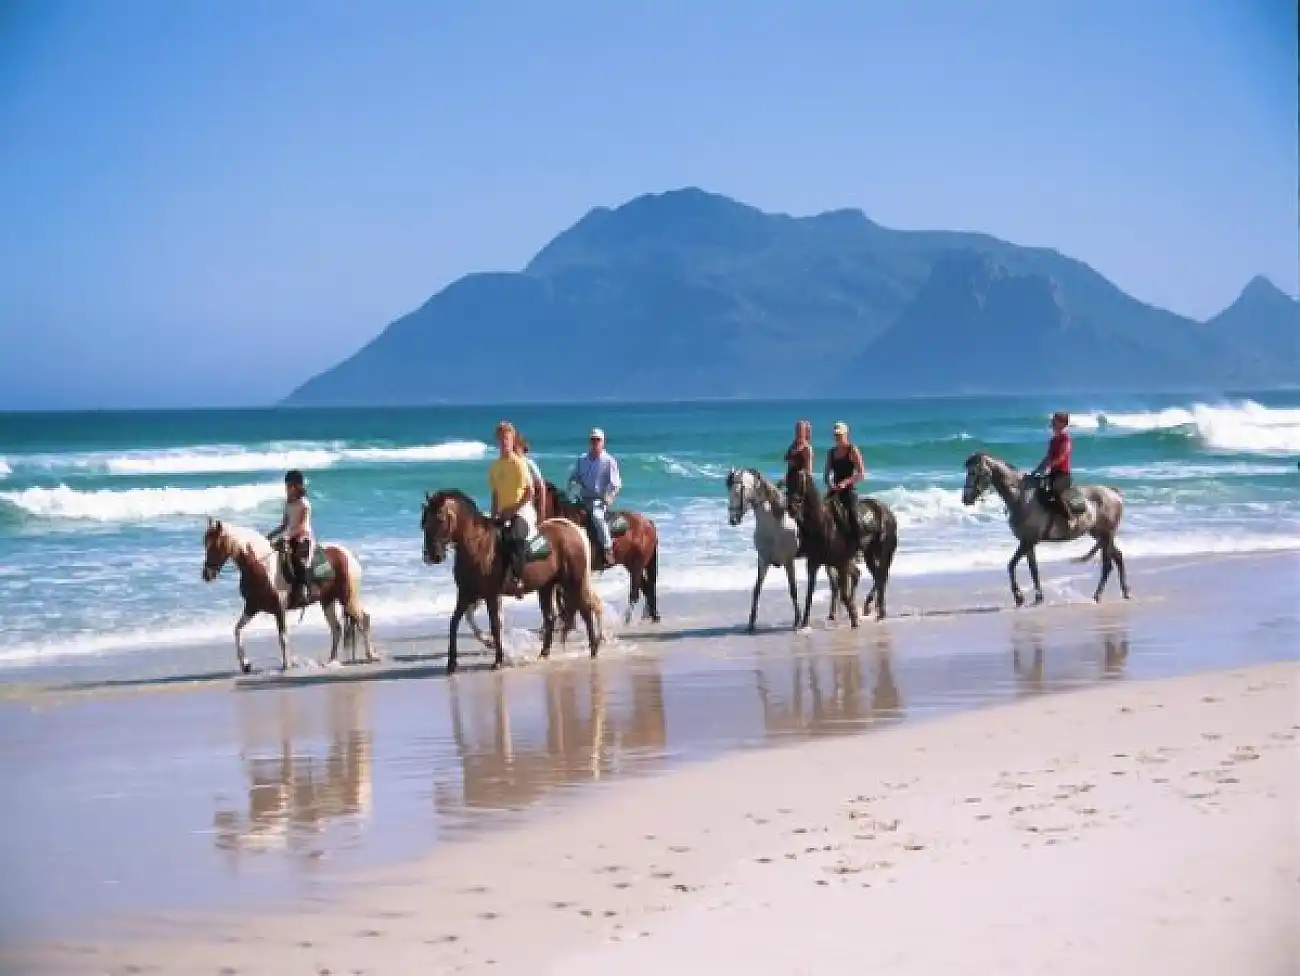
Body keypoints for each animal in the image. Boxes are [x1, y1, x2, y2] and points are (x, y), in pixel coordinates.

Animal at [201, 519, 377, 674]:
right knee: (337, 628)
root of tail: (348, 555)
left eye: (215, 545)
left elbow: (283, 637)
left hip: (347, 598)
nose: (207, 575)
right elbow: (237, 630)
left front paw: (287, 665)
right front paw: (245, 665)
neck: (262, 567)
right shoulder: (252, 607)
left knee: (363, 619)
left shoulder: (279, 610)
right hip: (327, 601)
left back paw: (371, 655)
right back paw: (332, 660)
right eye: (205, 544)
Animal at [420, 489, 603, 674]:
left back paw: (594, 648)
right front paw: (451, 663)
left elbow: (495, 625)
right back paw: (544, 654)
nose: (432, 556)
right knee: (551, 618)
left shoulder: (491, 595)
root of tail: (572, 528)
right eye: (424, 522)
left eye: (440, 519)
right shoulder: (465, 594)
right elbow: (454, 622)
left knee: (586, 610)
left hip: (573, 582)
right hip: (546, 586)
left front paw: (498, 660)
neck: (477, 545)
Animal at [544, 481, 661, 626]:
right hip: (632, 565)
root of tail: (648, 523)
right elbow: (560, 595)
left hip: (637, 566)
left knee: (636, 592)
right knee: (647, 588)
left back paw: (627, 620)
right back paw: (654, 616)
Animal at [725, 467, 801, 632]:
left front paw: (797, 621)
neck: (775, 524)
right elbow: (757, 589)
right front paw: (751, 622)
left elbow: (793, 589)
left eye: (740, 490)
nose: (733, 520)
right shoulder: (763, 560)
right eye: (729, 490)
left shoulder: (789, 561)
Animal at [961, 451, 1130, 606]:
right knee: (1118, 557)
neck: (1021, 498)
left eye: (974, 472)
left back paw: (1098, 596)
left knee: (1108, 565)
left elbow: (1011, 565)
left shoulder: (1028, 541)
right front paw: (1038, 597)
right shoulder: (1027, 543)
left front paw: (1019, 597)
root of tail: (1113, 492)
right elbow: (1033, 569)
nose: (965, 499)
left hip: (1106, 535)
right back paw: (1125, 592)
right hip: (1100, 535)